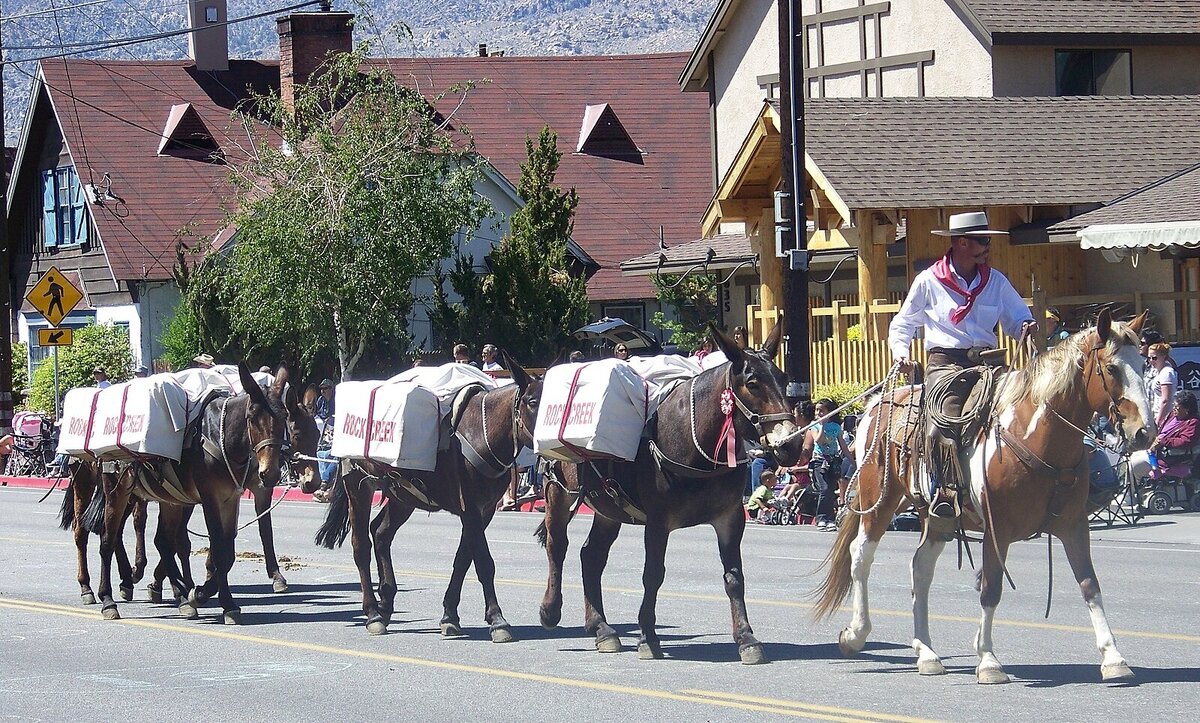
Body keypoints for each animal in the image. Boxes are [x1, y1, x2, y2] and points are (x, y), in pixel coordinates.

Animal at [811, 309, 1156, 682]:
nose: (1144, 433)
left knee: (920, 568)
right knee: (861, 556)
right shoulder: (997, 529)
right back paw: (856, 634)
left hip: (937, 517)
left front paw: (1114, 658)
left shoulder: (1074, 526)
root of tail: (876, 405)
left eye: (1143, 363)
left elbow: (1089, 585)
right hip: (880, 501)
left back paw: (927, 653)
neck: (1035, 435)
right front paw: (989, 660)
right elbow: (991, 588)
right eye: (1112, 368)